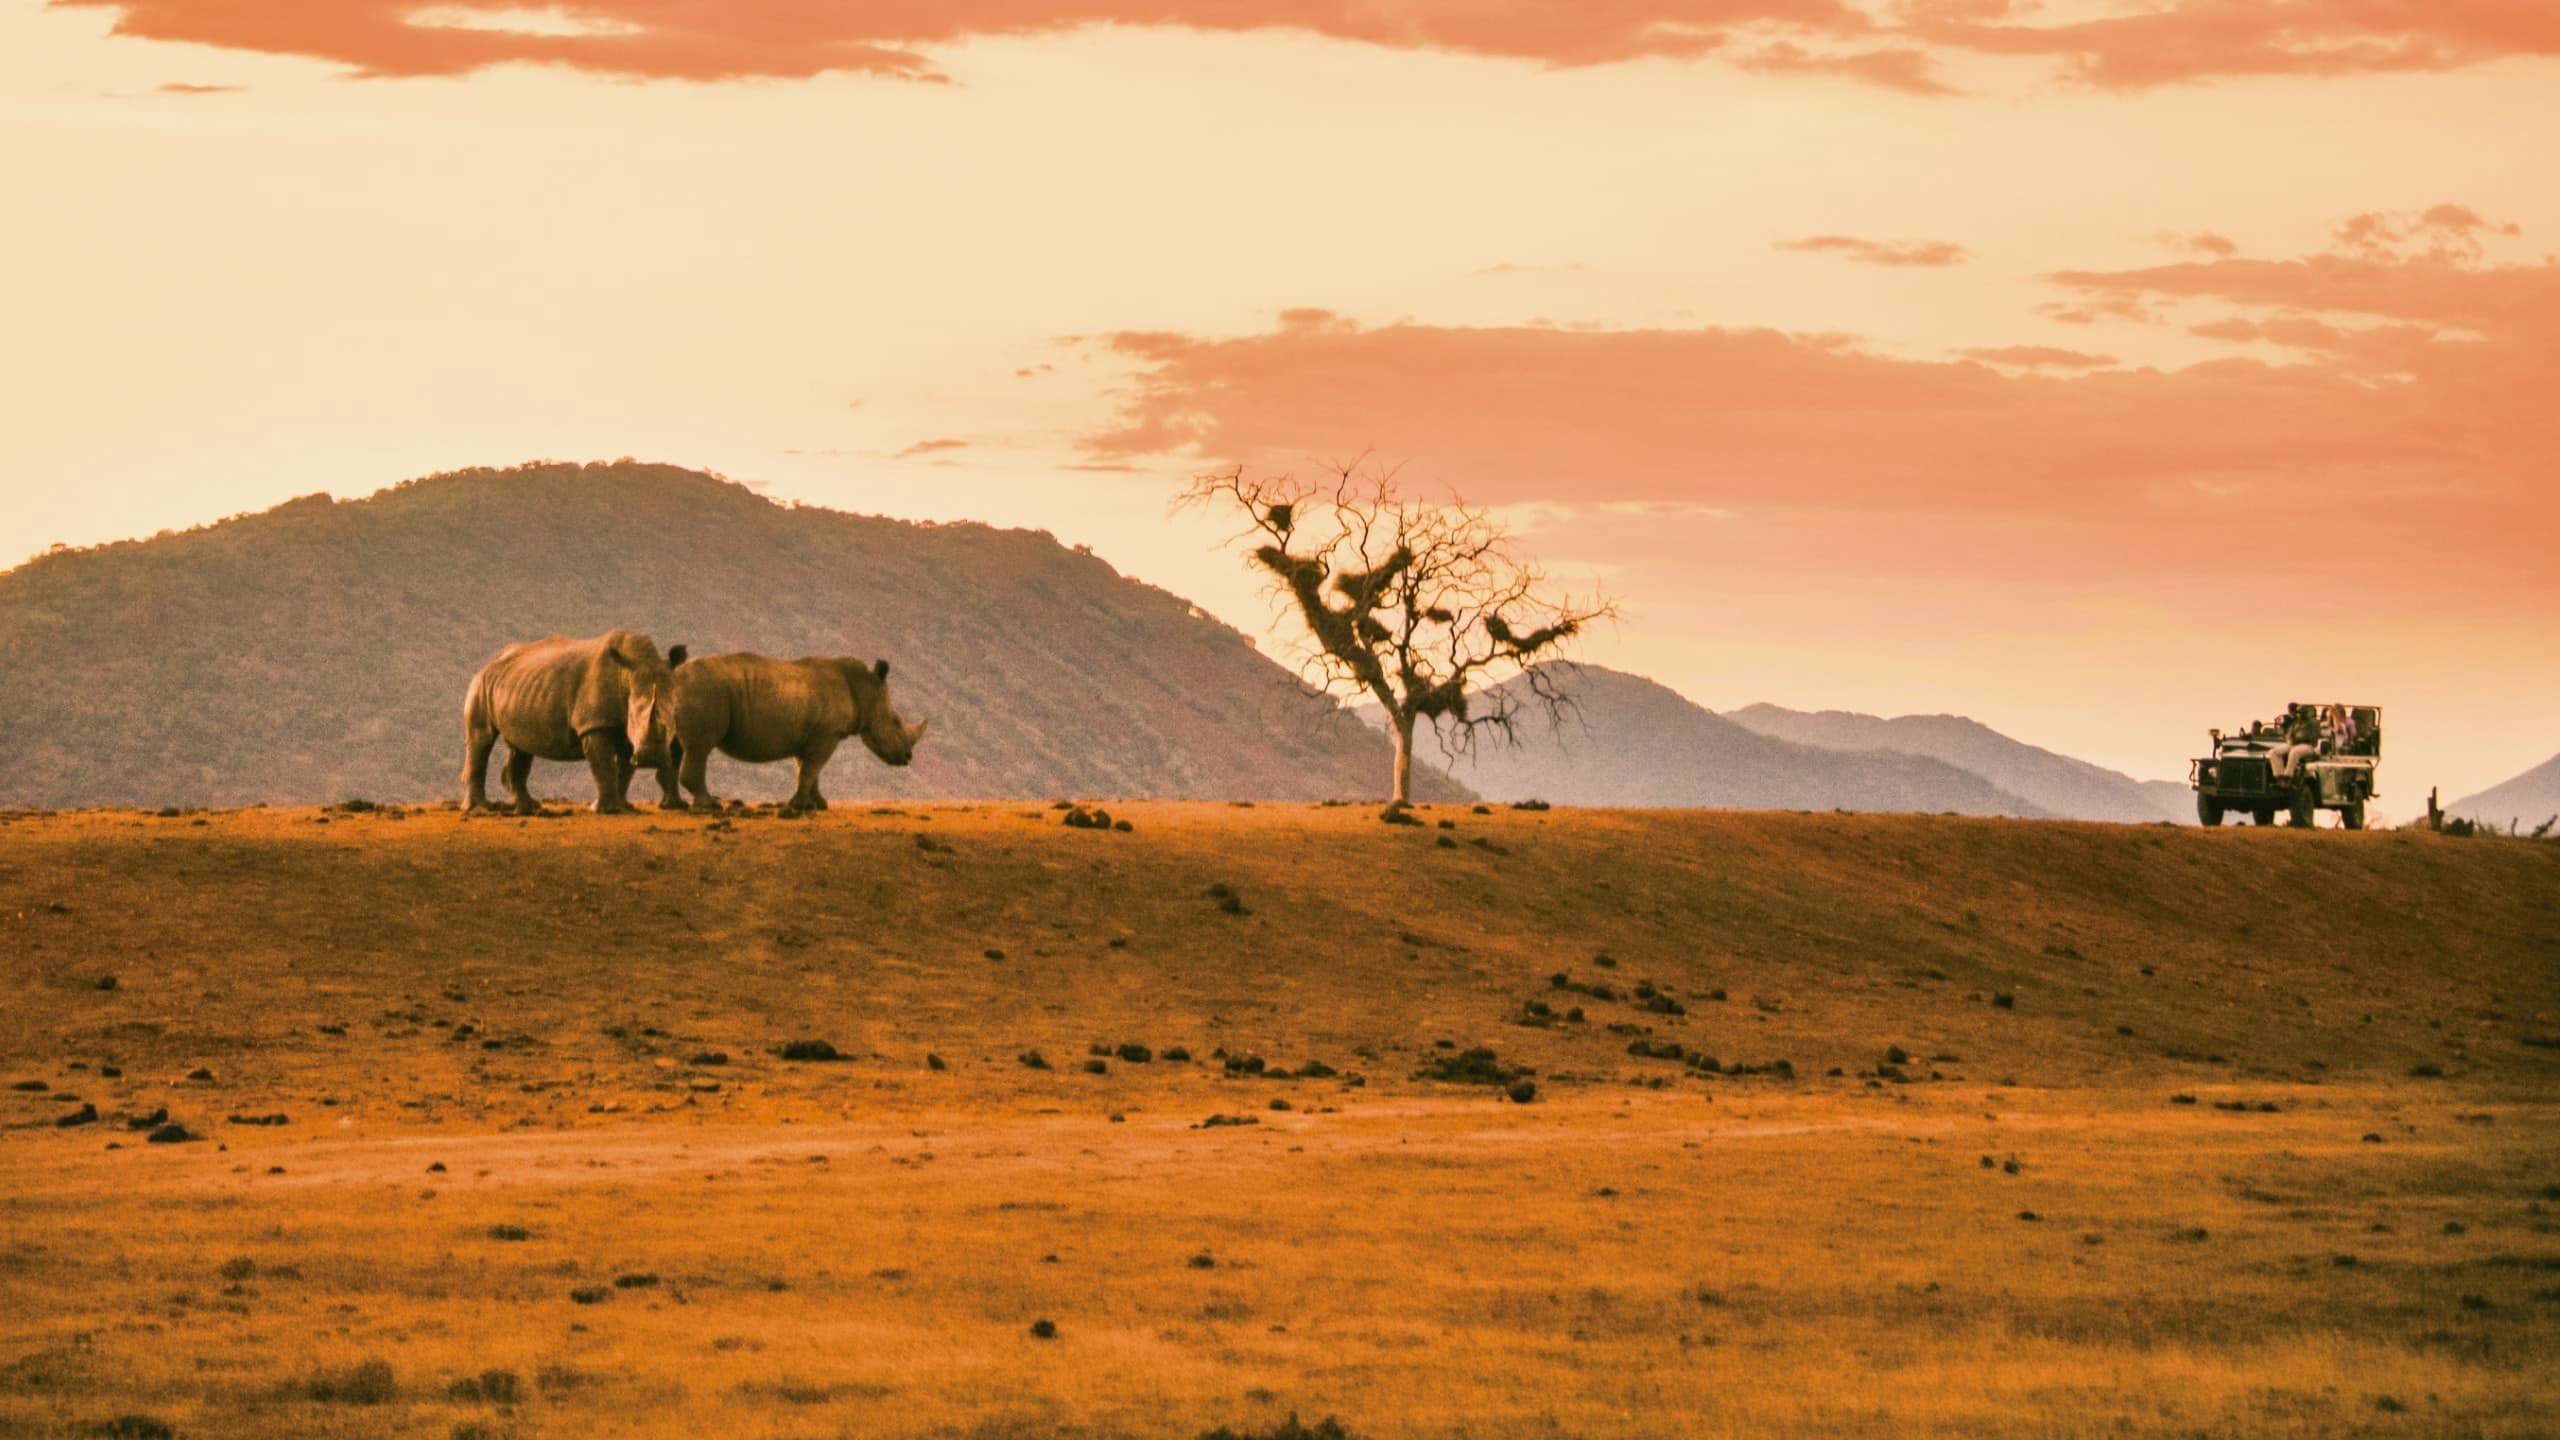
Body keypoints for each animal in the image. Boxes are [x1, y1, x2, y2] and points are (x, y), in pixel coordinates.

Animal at [462, 630, 687, 815]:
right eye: (633, 717)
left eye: (672, 719)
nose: (652, 758)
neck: (626, 675)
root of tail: (489, 663)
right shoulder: (594, 724)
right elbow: (604, 766)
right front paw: (606, 810)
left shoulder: (624, 730)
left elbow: (624, 770)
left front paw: (624, 807)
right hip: (480, 683)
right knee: (481, 738)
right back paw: (480, 808)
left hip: (518, 687)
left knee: (519, 746)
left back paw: (528, 809)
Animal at [654, 651, 927, 814]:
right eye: (895, 722)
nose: (908, 757)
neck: (864, 688)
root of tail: (675, 675)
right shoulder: (826, 734)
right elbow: (811, 769)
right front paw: (800, 806)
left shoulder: (810, 735)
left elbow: (807, 769)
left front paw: (818, 805)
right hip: (705, 690)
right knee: (700, 748)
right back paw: (709, 806)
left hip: (685, 693)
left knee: (674, 748)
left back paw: (674, 806)